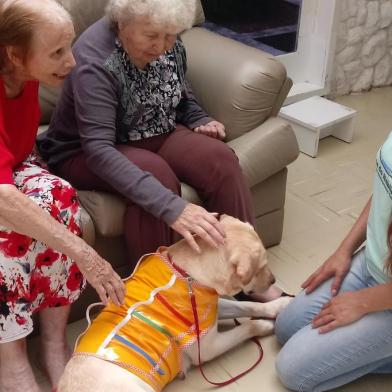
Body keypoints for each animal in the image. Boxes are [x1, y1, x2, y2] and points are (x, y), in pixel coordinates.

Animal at [58, 214, 290, 392]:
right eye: (261, 267)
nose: (273, 281)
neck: (186, 273)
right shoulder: (209, 347)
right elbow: (248, 326)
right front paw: (265, 324)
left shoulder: (209, 311)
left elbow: (248, 306)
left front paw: (279, 305)